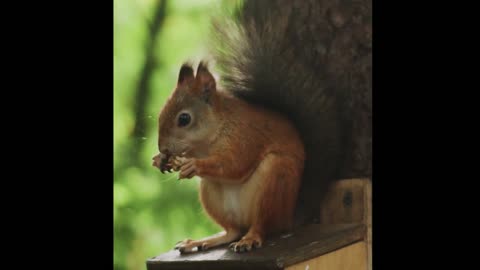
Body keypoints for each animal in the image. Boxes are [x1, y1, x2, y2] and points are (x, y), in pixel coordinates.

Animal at [152, 0, 370, 253]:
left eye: (184, 119)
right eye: (160, 113)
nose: (163, 147)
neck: (212, 135)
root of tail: (289, 217)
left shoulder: (245, 137)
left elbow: (234, 164)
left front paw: (193, 165)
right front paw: (159, 160)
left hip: (275, 180)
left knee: (261, 225)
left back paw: (250, 239)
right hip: (210, 193)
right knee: (232, 230)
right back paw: (205, 240)